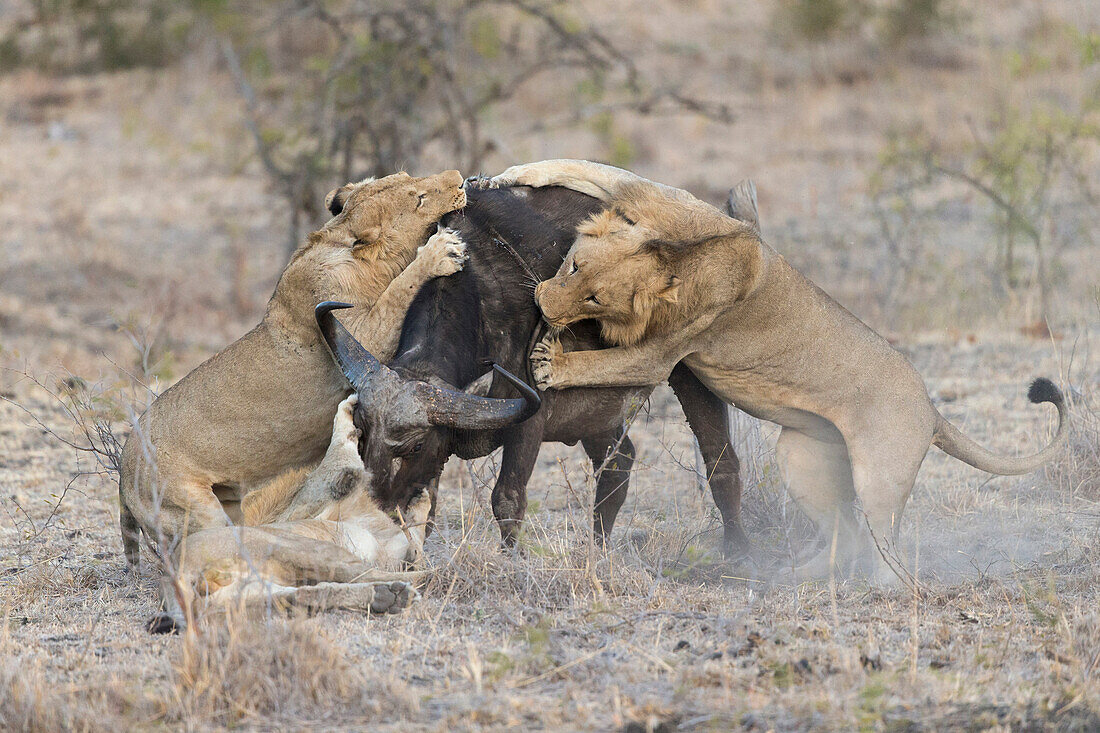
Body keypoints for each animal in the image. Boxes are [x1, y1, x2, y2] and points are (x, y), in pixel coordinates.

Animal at [151, 396, 429, 629]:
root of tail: (174, 574)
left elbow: (414, 539)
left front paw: (420, 504)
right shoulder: (322, 489)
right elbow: (341, 449)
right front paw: (348, 409)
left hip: (243, 595)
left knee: (303, 596)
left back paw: (387, 596)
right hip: (301, 547)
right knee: (372, 574)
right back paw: (421, 582)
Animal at [495, 158, 1069, 581]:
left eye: (594, 296)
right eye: (572, 265)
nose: (542, 303)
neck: (684, 262)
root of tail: (932, 410)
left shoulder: (665, 350)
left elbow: (606, 360)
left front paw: (550, 364)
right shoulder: (668, 203)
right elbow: (598, 169)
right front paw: (510, 175)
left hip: (879, 478)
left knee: (886, 543)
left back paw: (880, 589)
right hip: (801, 456)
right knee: (845, 533)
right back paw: (796, 575)